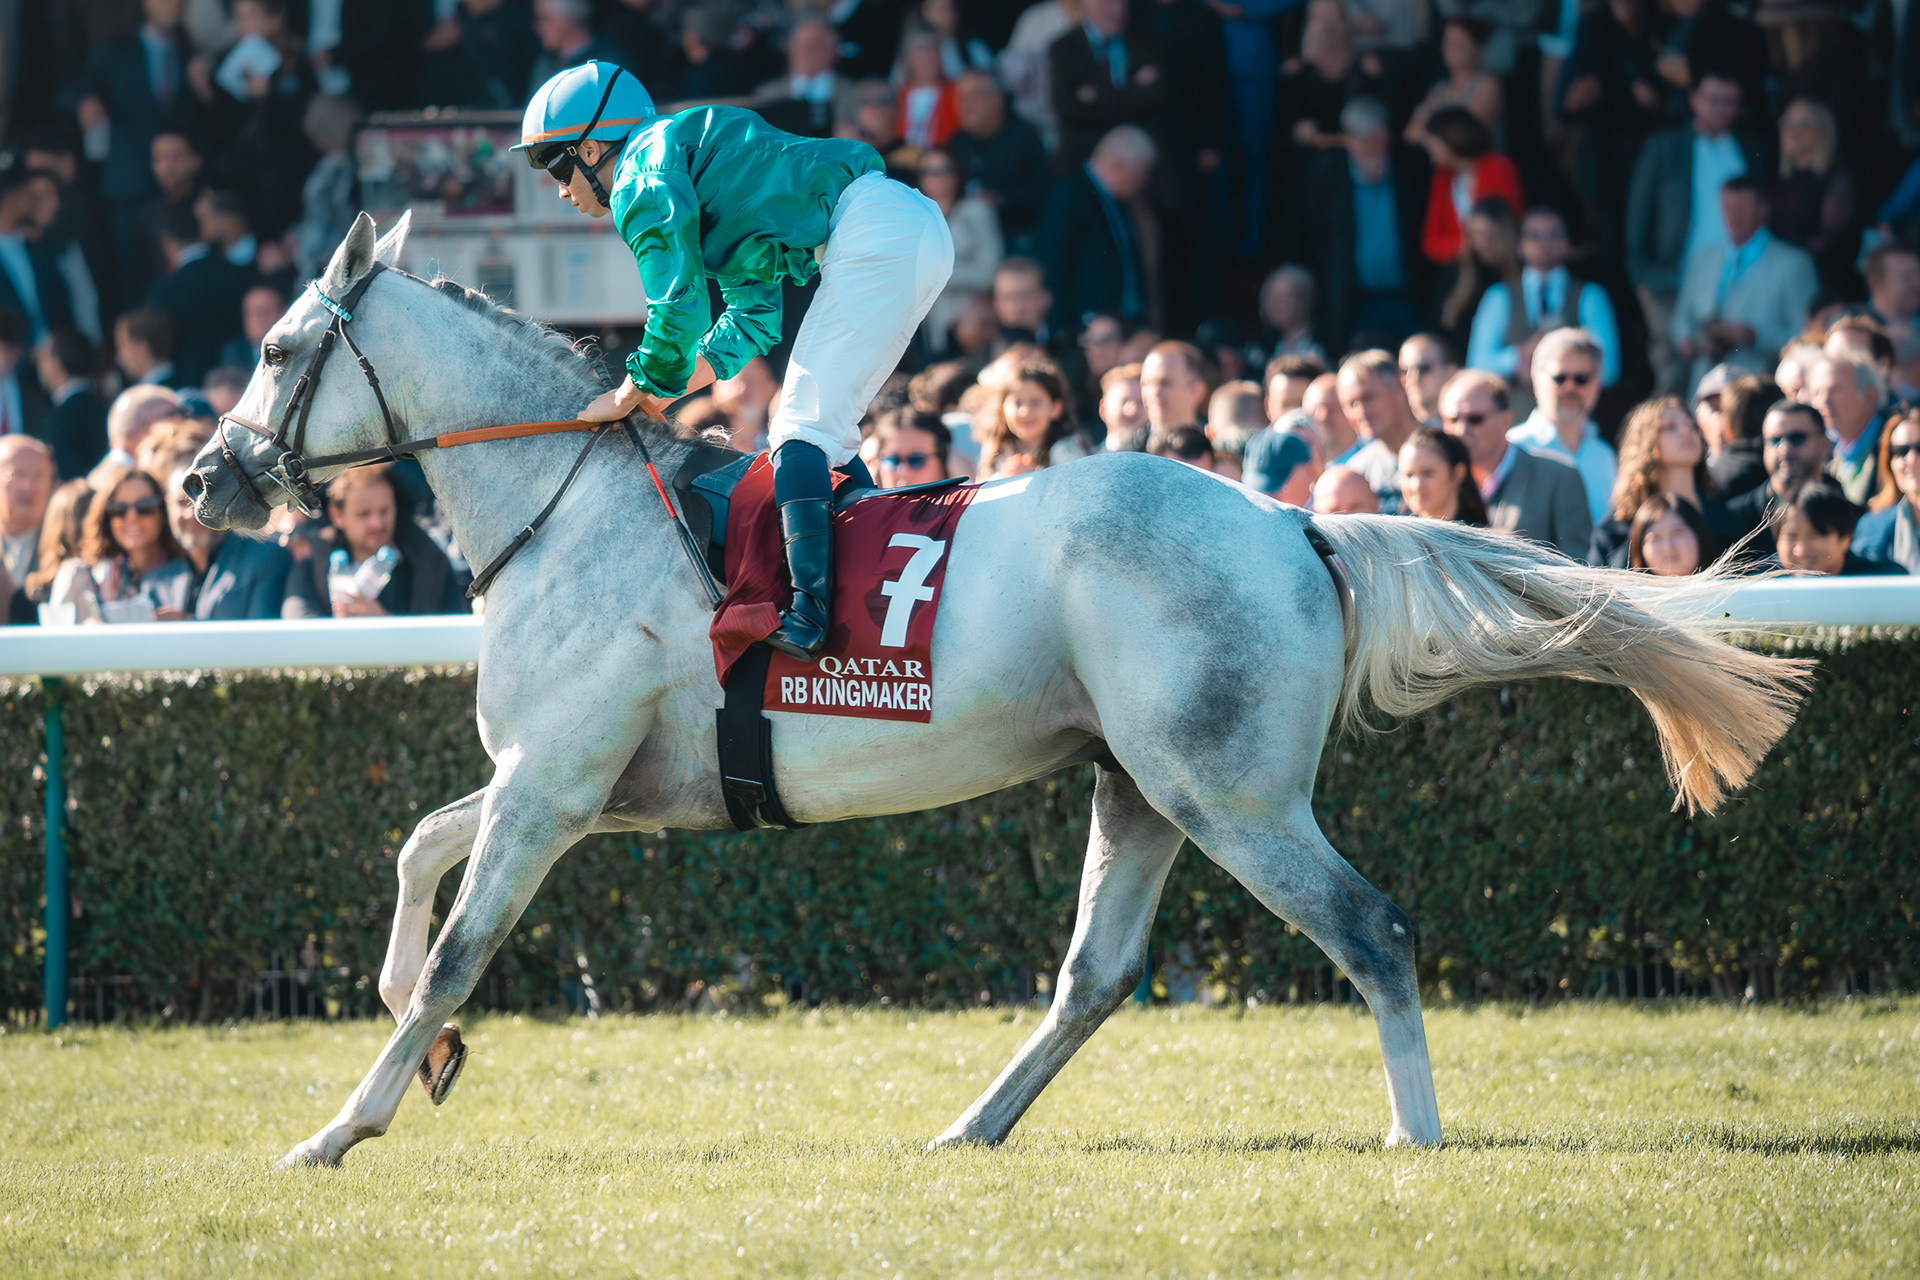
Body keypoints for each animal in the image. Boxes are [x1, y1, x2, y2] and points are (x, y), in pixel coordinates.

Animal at [185, 214, 1810, 1170]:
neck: (565, 503)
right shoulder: (576, 782)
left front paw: (343, 1123)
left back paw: (1415, 1137)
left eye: (275, 345)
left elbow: (460, 949)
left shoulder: (557, 787)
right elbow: (418, 855)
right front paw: (422, 1051)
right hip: (1140, 784)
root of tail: (1294, 523)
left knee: (1371, 926)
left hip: (1230, 791)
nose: (206, 482)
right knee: (1094, 973)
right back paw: (973, 1126)